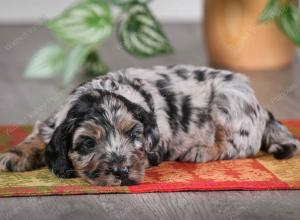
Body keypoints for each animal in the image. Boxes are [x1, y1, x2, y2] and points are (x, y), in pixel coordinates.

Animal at [0, 65, 300, 186]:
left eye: (134, 134)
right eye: (87, 143)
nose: (122, 172)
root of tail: (260, 106)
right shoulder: (52, 122)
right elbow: (37, 135)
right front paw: (14, 155)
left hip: (227, 105)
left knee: (239, 146)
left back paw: (200, 150)